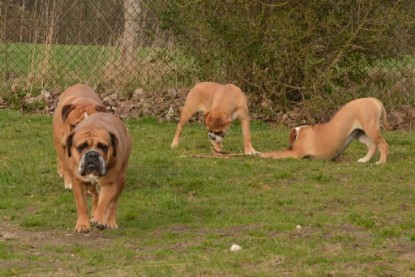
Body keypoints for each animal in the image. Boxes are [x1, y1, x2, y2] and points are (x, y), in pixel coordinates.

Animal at [262, 97, 392, 163]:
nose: (289, 147)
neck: (300, 133)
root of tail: (372, 99)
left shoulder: (296, 153)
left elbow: (277, 153)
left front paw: (262, 154)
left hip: (371, 129)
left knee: (383, 145)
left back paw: (381, 162)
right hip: (359, 134)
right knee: (373, 146)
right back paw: (364, 160)